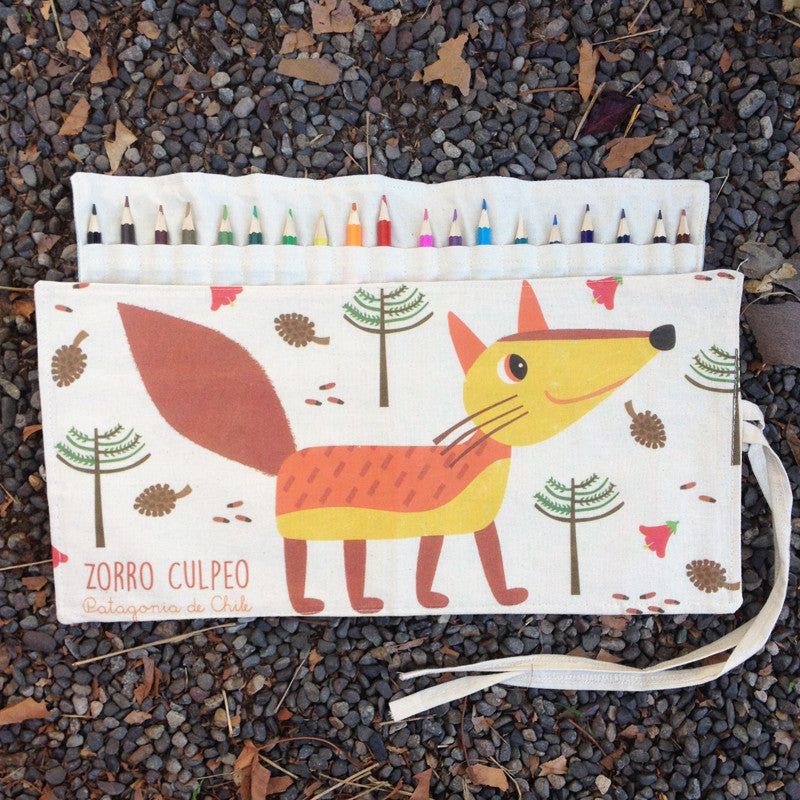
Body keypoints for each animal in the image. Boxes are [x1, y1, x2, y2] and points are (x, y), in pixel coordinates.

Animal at [118, 281, 675, 614]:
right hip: (313, 528)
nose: (663, 334)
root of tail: (284, 458)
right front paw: (437, 599)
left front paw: (496, 596)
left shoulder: (465, 523)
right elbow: (442, 562)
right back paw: (319, 604)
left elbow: (475, 561)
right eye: (517, 366)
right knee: (302, 563)